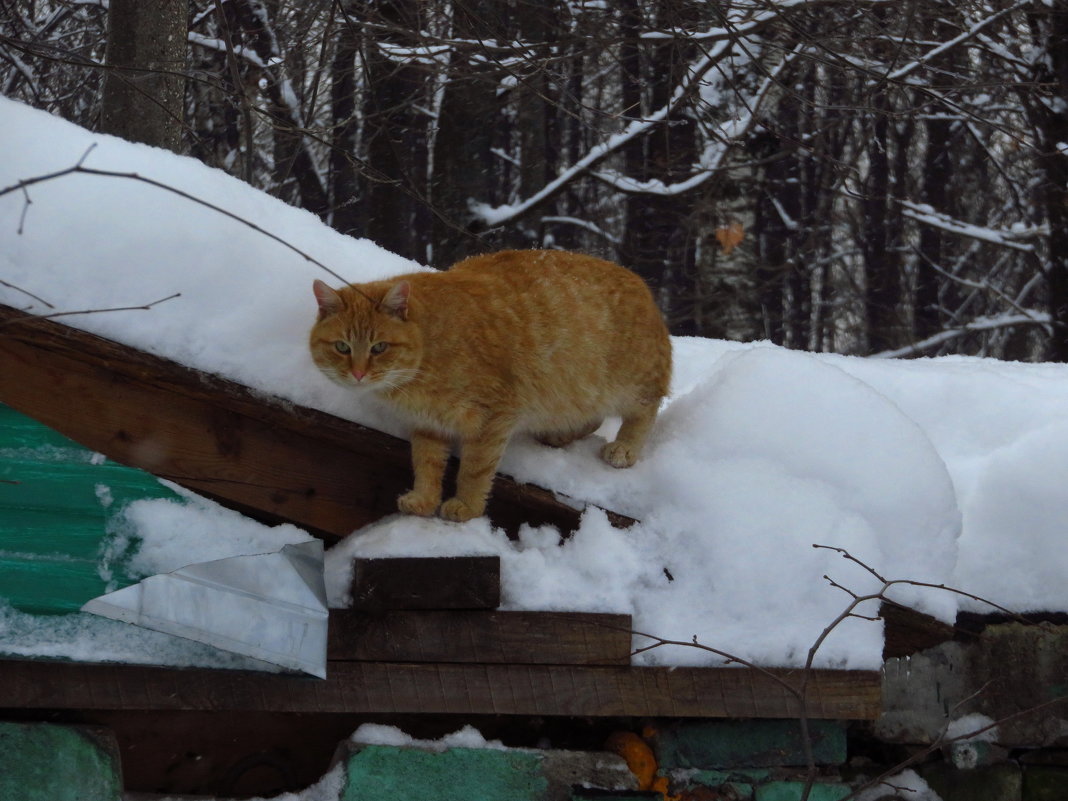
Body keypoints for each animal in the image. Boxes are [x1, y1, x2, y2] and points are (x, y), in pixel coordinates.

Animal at [309, 252, 670, 527]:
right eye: (342, 347)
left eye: (379, 347)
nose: (358, 373)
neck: (429, 346)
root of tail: (640, 283)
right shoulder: (428, 424)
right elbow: (426, 463)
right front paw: (425, 500)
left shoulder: (493, 417)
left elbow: (474, 470)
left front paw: (466, 507)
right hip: (576, 396)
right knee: (591, 418)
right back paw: (559, 436)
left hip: (630, 383)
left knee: (645, 410)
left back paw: (624, 448)